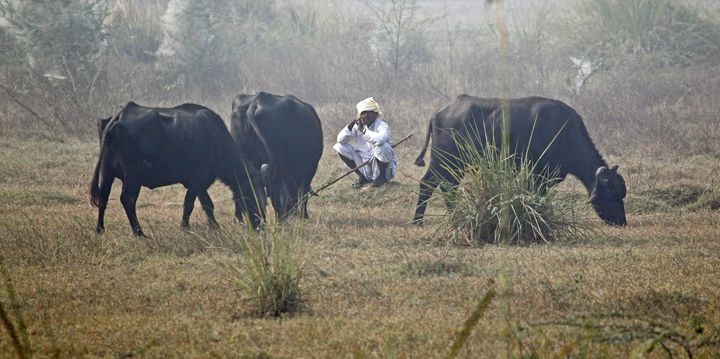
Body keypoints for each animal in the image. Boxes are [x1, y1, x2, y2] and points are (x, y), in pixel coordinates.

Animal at [89, 102, 268, 236]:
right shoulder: (198, 180)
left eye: (265, 200)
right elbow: (189, 203)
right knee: (127, 199)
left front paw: (215, 226)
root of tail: (120, 115)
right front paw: (185, 228)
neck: (217, 140)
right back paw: (139, 232)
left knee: (103, 198)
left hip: (106, 172)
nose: (261, 226)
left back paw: (100, 229)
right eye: (253, 197)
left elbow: (207, 204)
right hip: (133, 176)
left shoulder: (199, 183)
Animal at [414, 94, 628, 226]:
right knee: (429, 184)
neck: (564, 133)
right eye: (613, 193)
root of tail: (439, 113)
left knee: (447, 187)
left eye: (622, 193)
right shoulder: (539, 175)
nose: (622, 222)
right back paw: (418, 221)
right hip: (444, 160)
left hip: (454, 165)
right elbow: (538, 196)